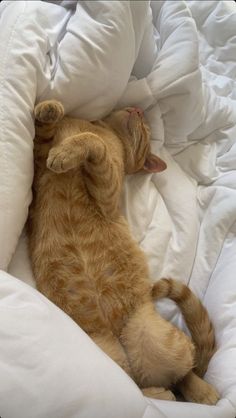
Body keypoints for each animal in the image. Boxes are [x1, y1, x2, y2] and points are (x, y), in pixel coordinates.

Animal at [28, 99, 219, 404]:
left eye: (146, 129)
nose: (138, 110)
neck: (102, 127)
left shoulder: (106, 191)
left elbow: (92, 143)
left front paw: (67, 150)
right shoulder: (39, 158)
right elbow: (46, 134)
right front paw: (50, 108)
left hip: (162, 339)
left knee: (184, 373)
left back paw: (200, 392)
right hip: (97, 357)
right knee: (136, 386)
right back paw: (164, 393)